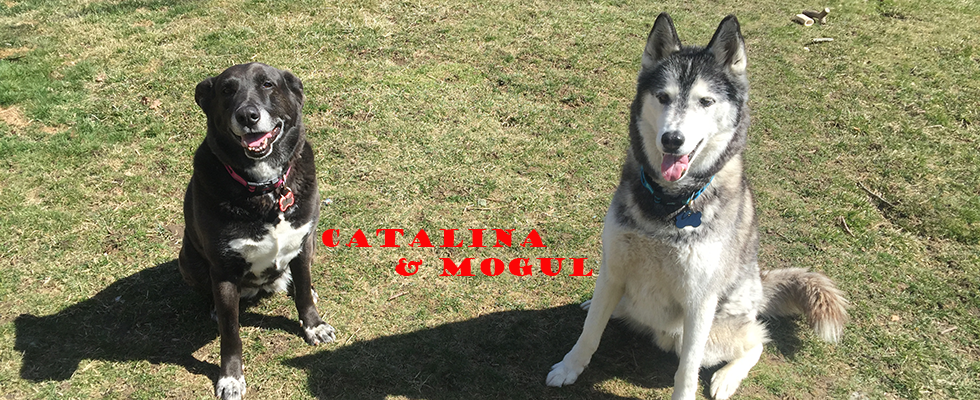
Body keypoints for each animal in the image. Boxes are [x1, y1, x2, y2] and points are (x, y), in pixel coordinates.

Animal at [179, 63, 336, 400]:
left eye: (267, 84)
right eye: (227, 90)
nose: (247, 115)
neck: (265, 188)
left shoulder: (303, 244)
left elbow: (304, 295)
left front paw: (314, 325)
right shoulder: (223, 270)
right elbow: (230, 334)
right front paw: (230, 378)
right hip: (188, 260)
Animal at [546, 14, 848, 400]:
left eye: (706, 101)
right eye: (663, 97)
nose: (672, 139)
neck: (669, 203)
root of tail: (760, 285)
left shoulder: (699, 301)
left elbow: (687, 370)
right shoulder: (613, 266)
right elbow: (589, 331)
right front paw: (569, 367)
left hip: (715, 331)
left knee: (756, 341)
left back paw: (727, 377)